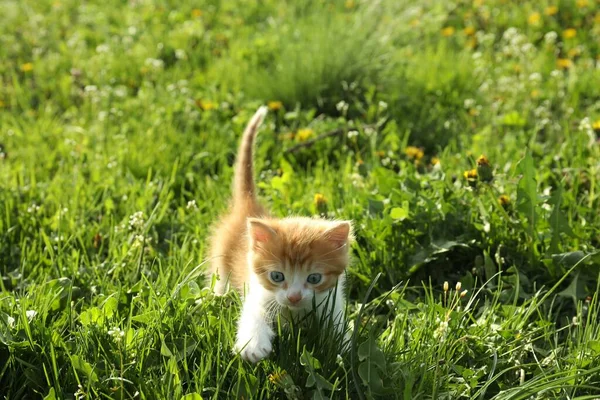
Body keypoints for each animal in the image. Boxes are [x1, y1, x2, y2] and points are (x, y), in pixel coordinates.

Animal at [210, 105, 354, 362]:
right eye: (277, 276)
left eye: (314, 278)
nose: (294, 297)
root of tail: (249, 206)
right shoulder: (257, 293)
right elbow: (252, 315)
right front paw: (253, 345)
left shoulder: (332, 301)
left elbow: (337, 325)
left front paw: (343, 349)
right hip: (221, 269)